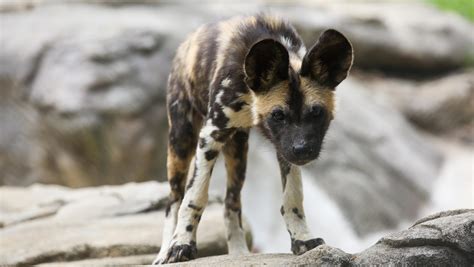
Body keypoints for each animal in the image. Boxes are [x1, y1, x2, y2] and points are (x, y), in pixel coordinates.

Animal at [152, 13, 352, 264]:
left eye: (316, 112)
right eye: (278, 115)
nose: (302, 150)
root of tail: (186, 42)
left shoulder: (283, 148)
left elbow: (293, 198)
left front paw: (303, 240)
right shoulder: (210, 136)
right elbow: (194, 198)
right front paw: (182, 245)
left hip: (238, 154)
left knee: (231, 202)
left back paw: (239, 253)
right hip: (181, 141)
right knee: (174, 200)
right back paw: (164, 252)